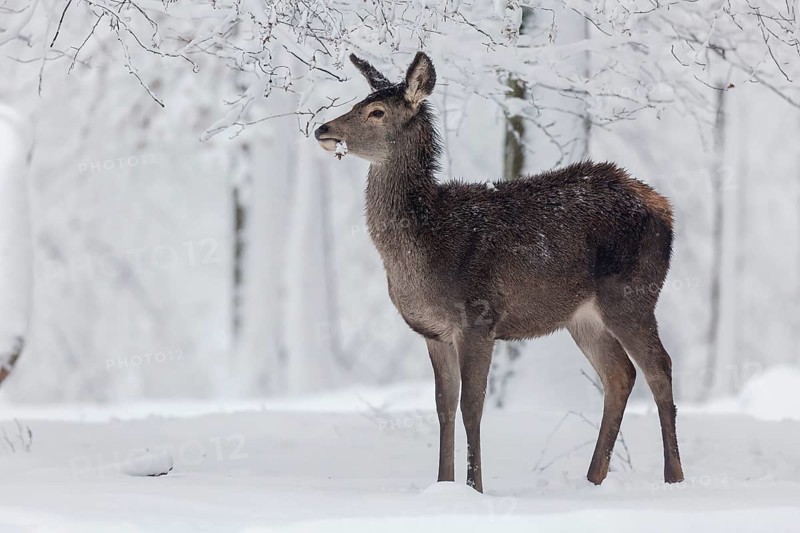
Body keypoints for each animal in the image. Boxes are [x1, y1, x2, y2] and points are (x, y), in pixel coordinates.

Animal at [314, 52, 684, 493]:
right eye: (359, 101)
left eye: (376, 111)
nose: (323, 129)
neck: (424, 248)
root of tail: (664, 208)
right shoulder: (433, 332)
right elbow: (443, 407)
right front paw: (443, 486)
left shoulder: (479, 317)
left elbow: (471, 406)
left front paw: (475, 488)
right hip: (583, 316)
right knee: (620, 374)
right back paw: (593, 479)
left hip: (632, 294)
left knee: (659, 368)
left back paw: (674, 478)